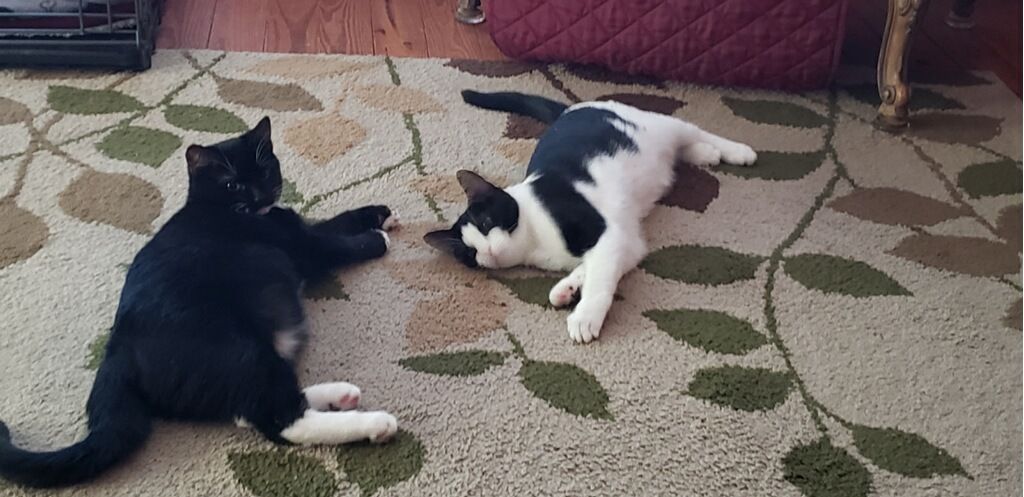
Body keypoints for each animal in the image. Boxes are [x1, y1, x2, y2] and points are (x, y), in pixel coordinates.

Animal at [0, 117, 399, 487]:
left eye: (265, 169)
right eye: (233, 183)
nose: (260, 195)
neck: (241, 213)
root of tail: (116, 352)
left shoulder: (294, 225)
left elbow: (332, 221)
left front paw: (379, 213)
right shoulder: (302, 248)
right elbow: (333, 243)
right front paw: (375, 238)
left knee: (250, 408)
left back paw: (340, 395)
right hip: (238, 348)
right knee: (278, 420)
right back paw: (374, 423)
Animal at [423, 91, 753, 342]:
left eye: (487, 223)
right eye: (469, 252)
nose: (488, 251)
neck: (534, 242)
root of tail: (573, 108)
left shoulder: (606, 232)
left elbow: (601, 277)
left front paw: (585, 316)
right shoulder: (627, 242)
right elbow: (602, 265)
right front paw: (568, 289)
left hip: (659, 125)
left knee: (692, 129)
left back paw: (737, 151)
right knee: (683, 149)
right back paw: (705, 154)